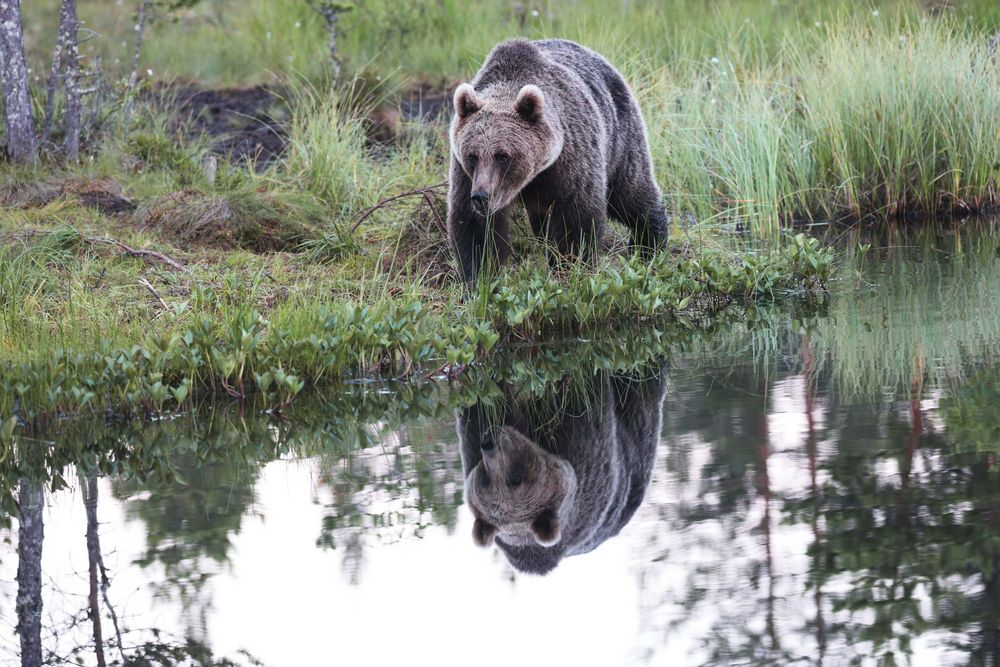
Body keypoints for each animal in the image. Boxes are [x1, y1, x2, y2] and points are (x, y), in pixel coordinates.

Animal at [448, 37, 668, 286]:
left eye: (503, 156)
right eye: (472, 156)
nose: (481, 197)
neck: (535, 175)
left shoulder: (572, 158)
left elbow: (576, 218)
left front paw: (570, 269)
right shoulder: (466, 174)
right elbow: (474, 228)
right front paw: (479, 280)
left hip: (620, 136)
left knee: (630, 192)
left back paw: (649, 244)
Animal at [458, 360, 664, 576]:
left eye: (515, 478)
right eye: (488, 478)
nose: (490, 444)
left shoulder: (473, 442)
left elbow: (481, 405)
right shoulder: (590, 462)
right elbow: (586, 400)